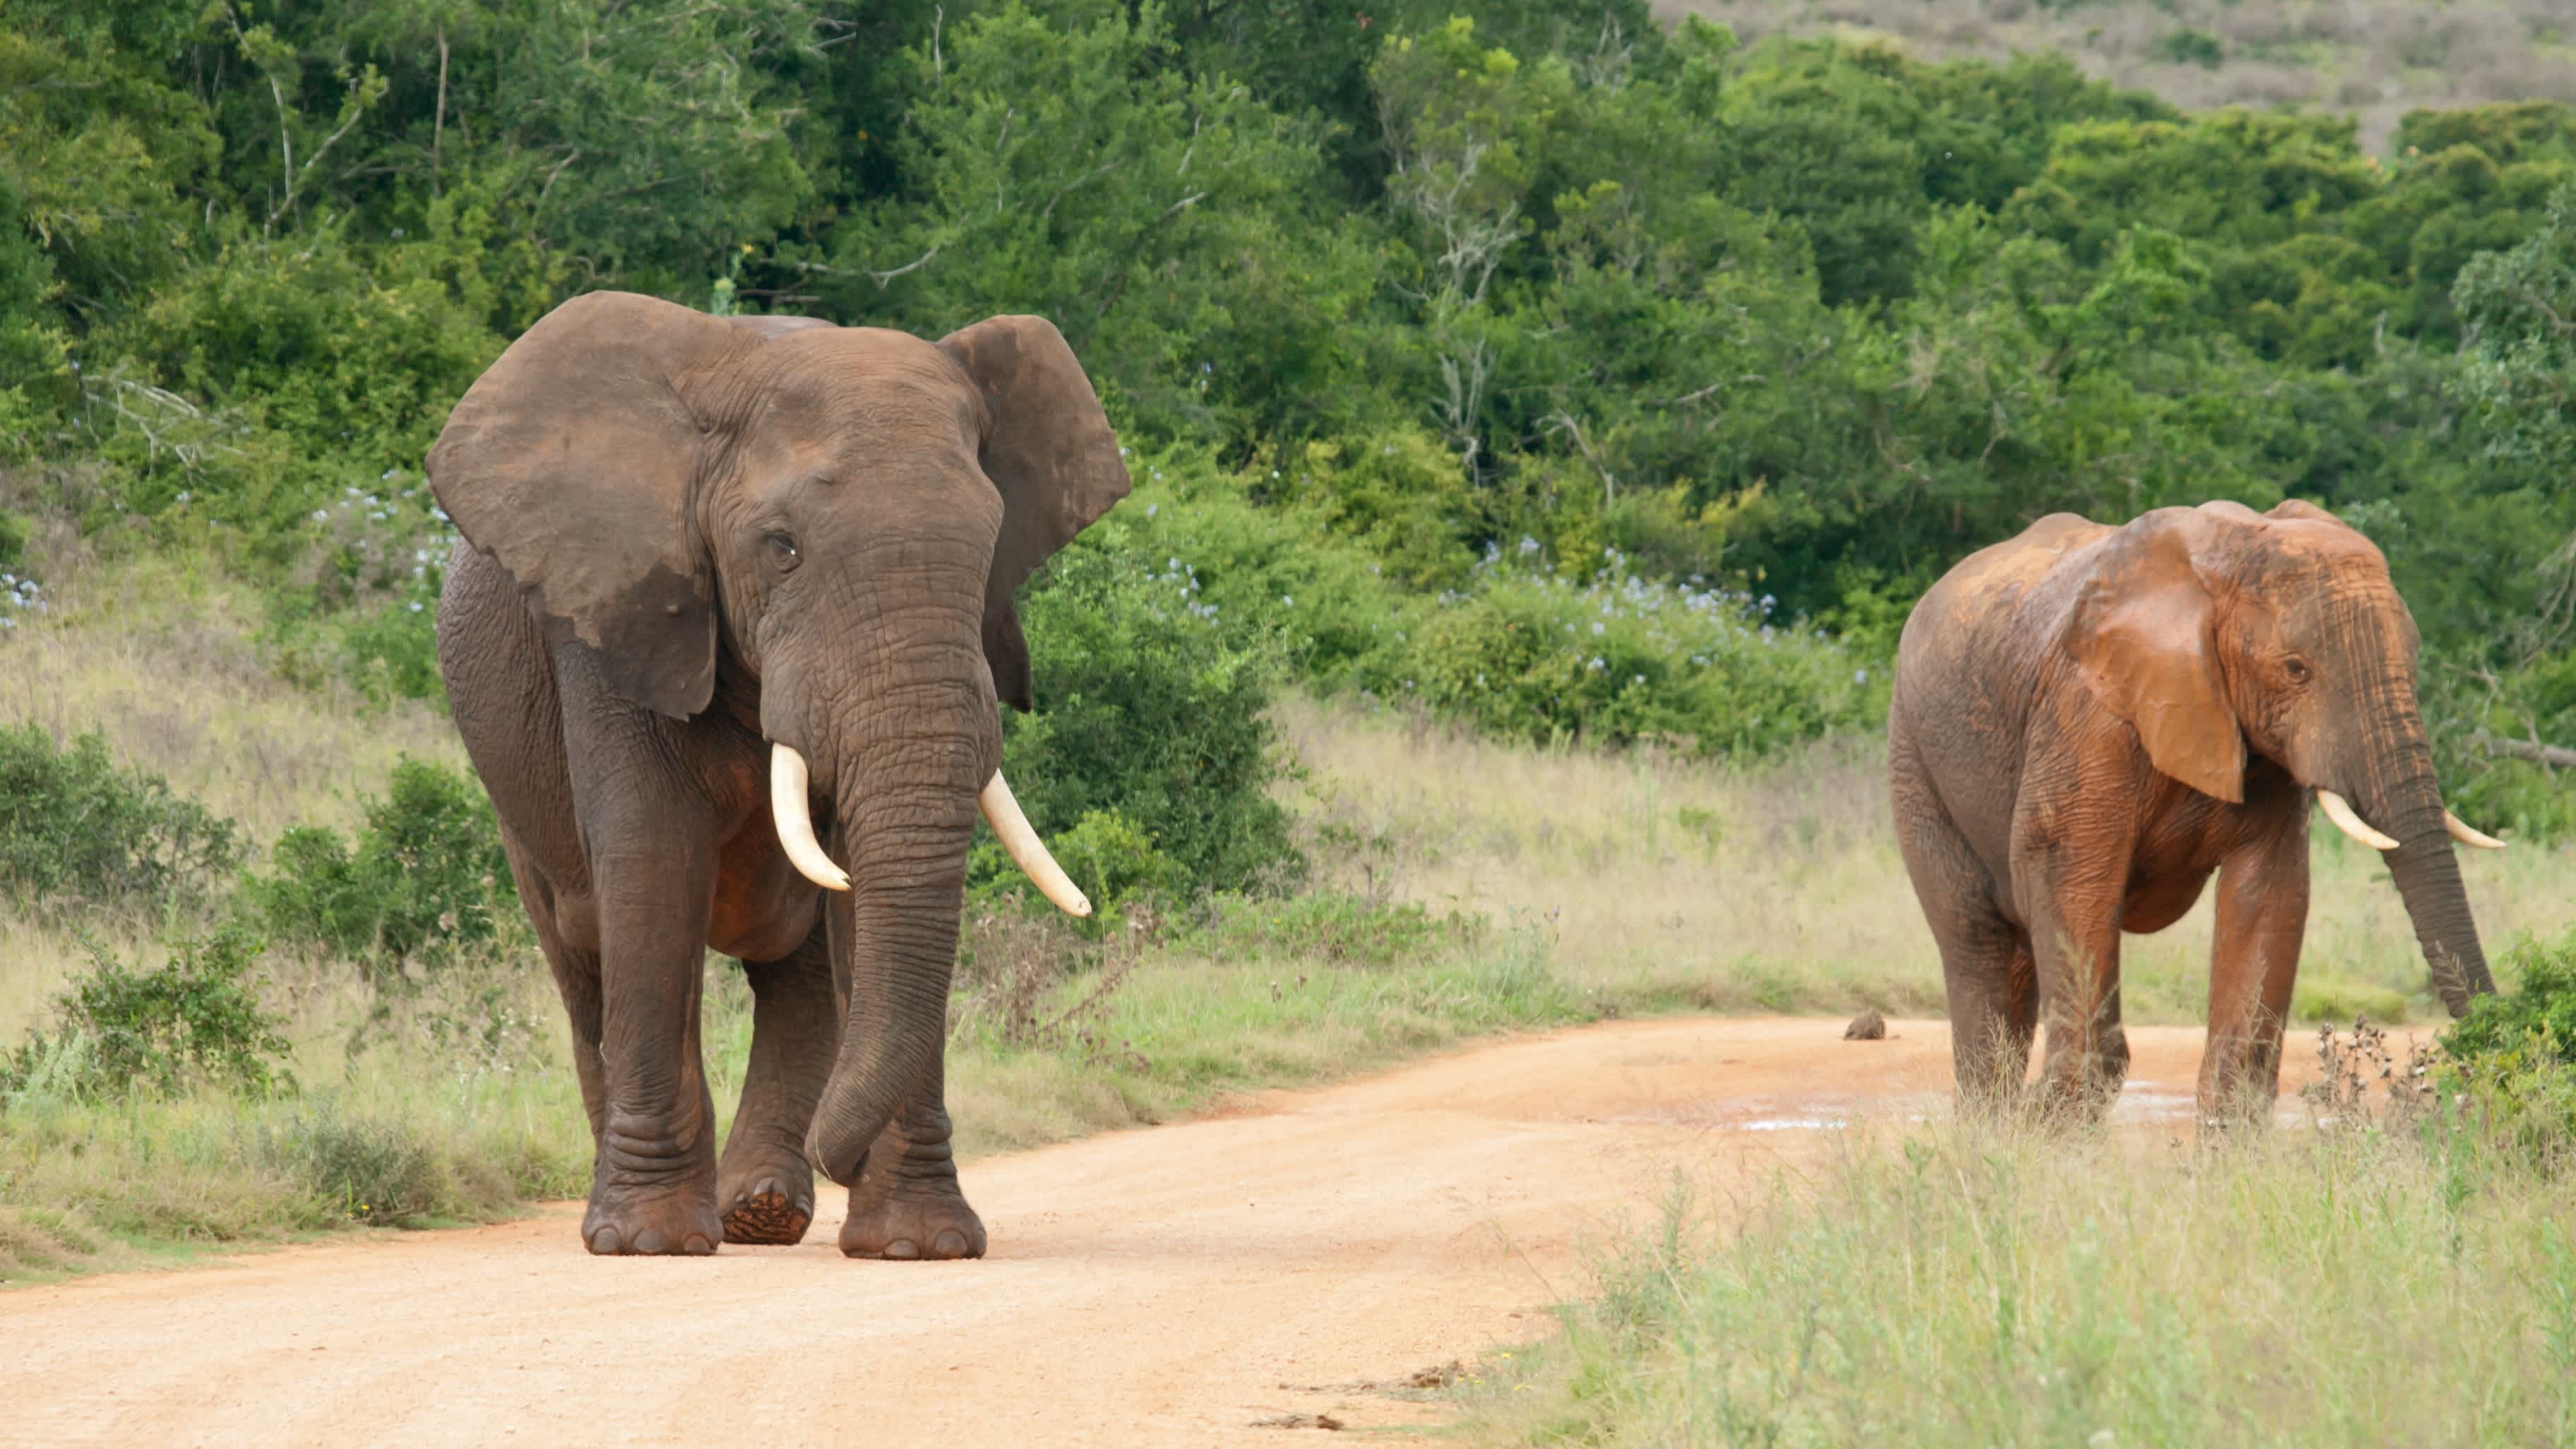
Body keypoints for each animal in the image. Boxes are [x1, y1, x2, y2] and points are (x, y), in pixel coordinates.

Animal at [427, 287, 1123, 1248]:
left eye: (991, 548)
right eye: (781, 547)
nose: (844, 1160)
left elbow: (866, 894)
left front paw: (919, 1246)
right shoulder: (617, 616)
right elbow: (652, 871)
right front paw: (648, 1243)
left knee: (796, 971)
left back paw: (761, 1211)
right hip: (514, 806)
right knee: (588, 960)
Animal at [1895, 495, 2493, 1119]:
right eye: (2295, 669)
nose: (2479, 1047)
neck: (2233, 553)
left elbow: (2268, 894)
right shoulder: (2087, 717)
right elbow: (2073, 876)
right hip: (1916, 757)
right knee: (1977, 940)